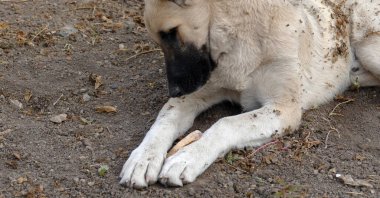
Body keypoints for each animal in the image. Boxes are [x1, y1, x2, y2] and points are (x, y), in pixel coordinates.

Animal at [119, 0, 380, 188]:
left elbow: (226, 124)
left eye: (172, 32)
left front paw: (187, 158)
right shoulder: (192, 95)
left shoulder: (283, 109)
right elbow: (164, 121)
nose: (174, 90)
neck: (238, 35)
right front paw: (144, 157)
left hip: (368, 48)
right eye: (160, 39)